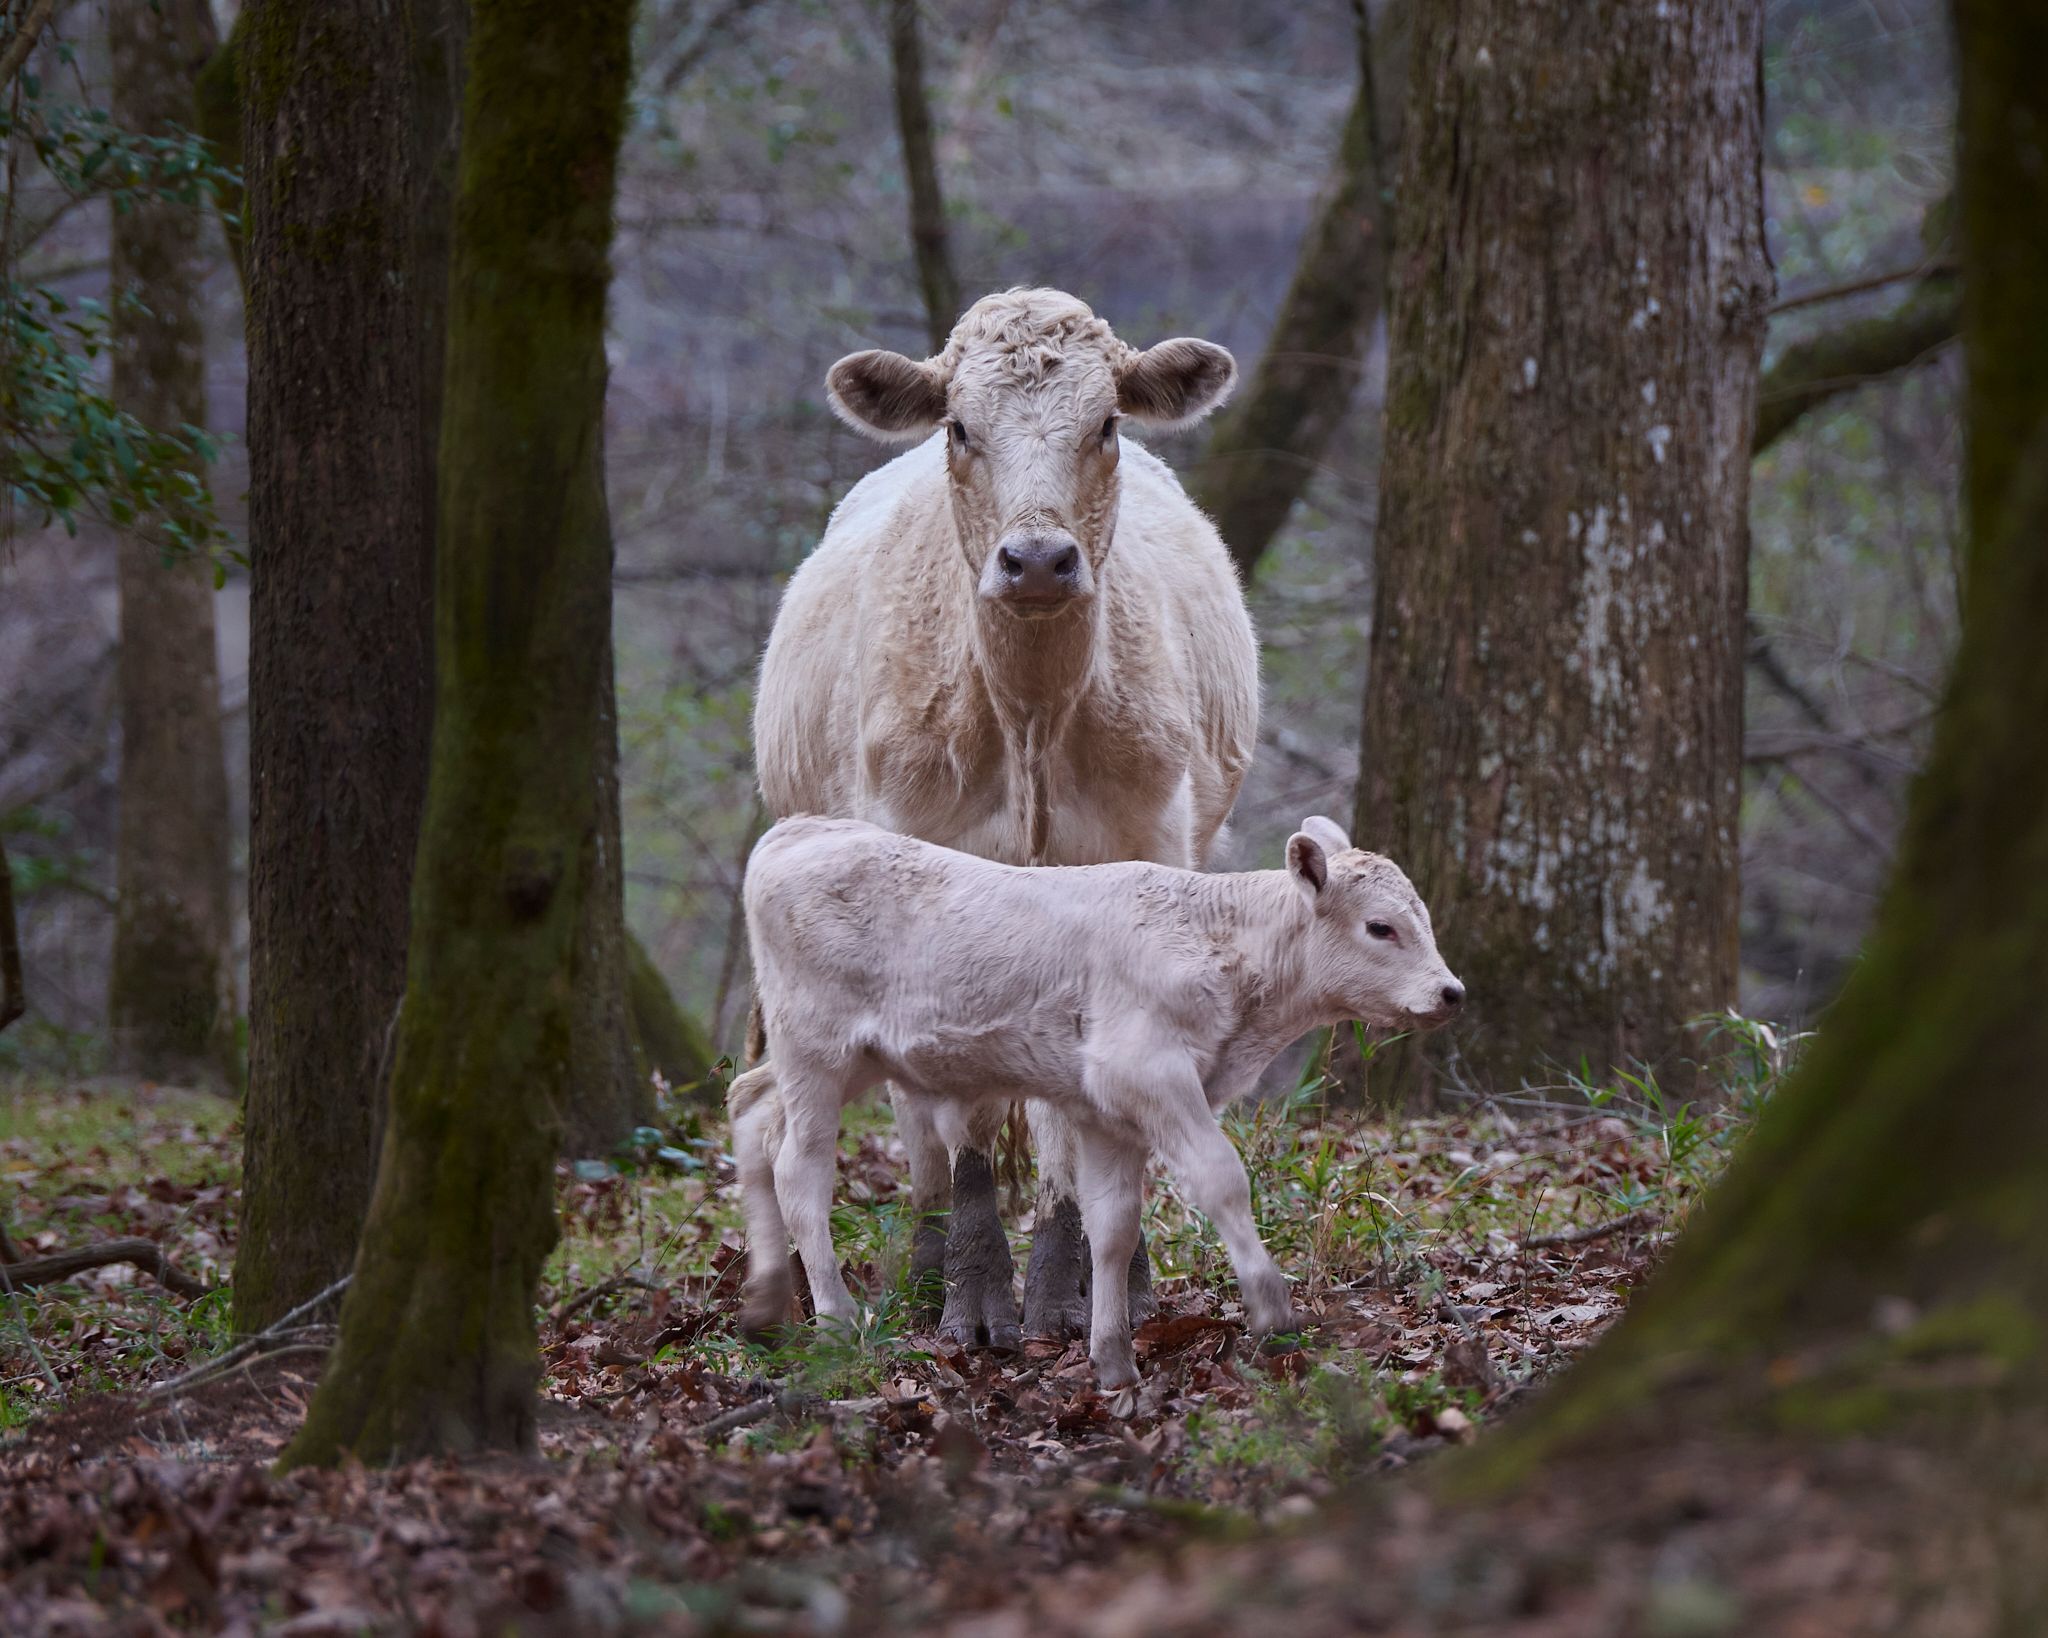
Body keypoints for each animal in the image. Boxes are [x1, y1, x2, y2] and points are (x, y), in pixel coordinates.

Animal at [728, 815, 1466, 1388]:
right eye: (1381, 928)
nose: (1451, 992)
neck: (1218, 944)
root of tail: (801, 829)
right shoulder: (1151, 1076)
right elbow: (1221, 1179)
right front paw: (1273, 1311)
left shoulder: (1108, 1113)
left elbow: (1112, 1226)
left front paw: (1112, 1358)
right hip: (817, 1052)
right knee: (799, 1171)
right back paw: (835, 1320)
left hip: (837, 1060)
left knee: (749, 1109)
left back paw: (765, 1305)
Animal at [753, 288, 1260, 1349]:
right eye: (959, 427)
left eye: (1106, 423)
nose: (1035, 561)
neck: (1030, 720)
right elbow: (965, 1114)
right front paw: (979, 1294)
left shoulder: (1135, 867)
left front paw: (1074, 1285)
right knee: (918, 1119)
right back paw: (928, 1262)